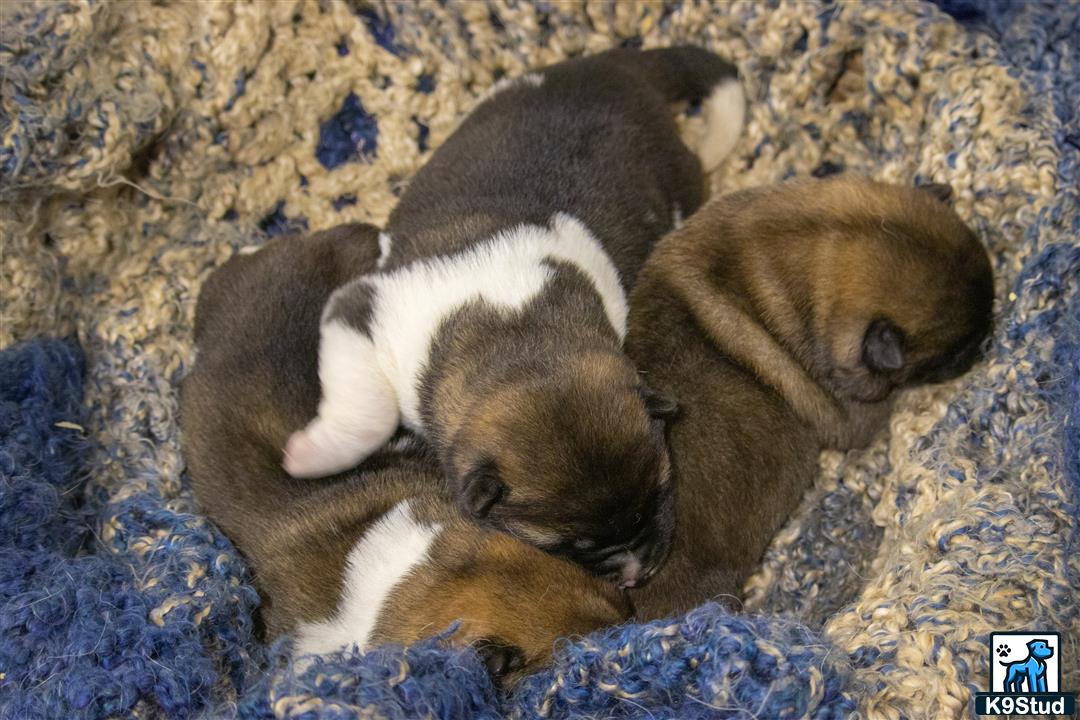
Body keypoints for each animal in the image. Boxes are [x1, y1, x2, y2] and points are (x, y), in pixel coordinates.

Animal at [282, 43, 747, 587]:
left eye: (659, 493)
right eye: (571, 545)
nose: (636, 572)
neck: (517, 337)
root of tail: (625, 63)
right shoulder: (362, 313)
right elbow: (367, 415)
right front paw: (310, 456)